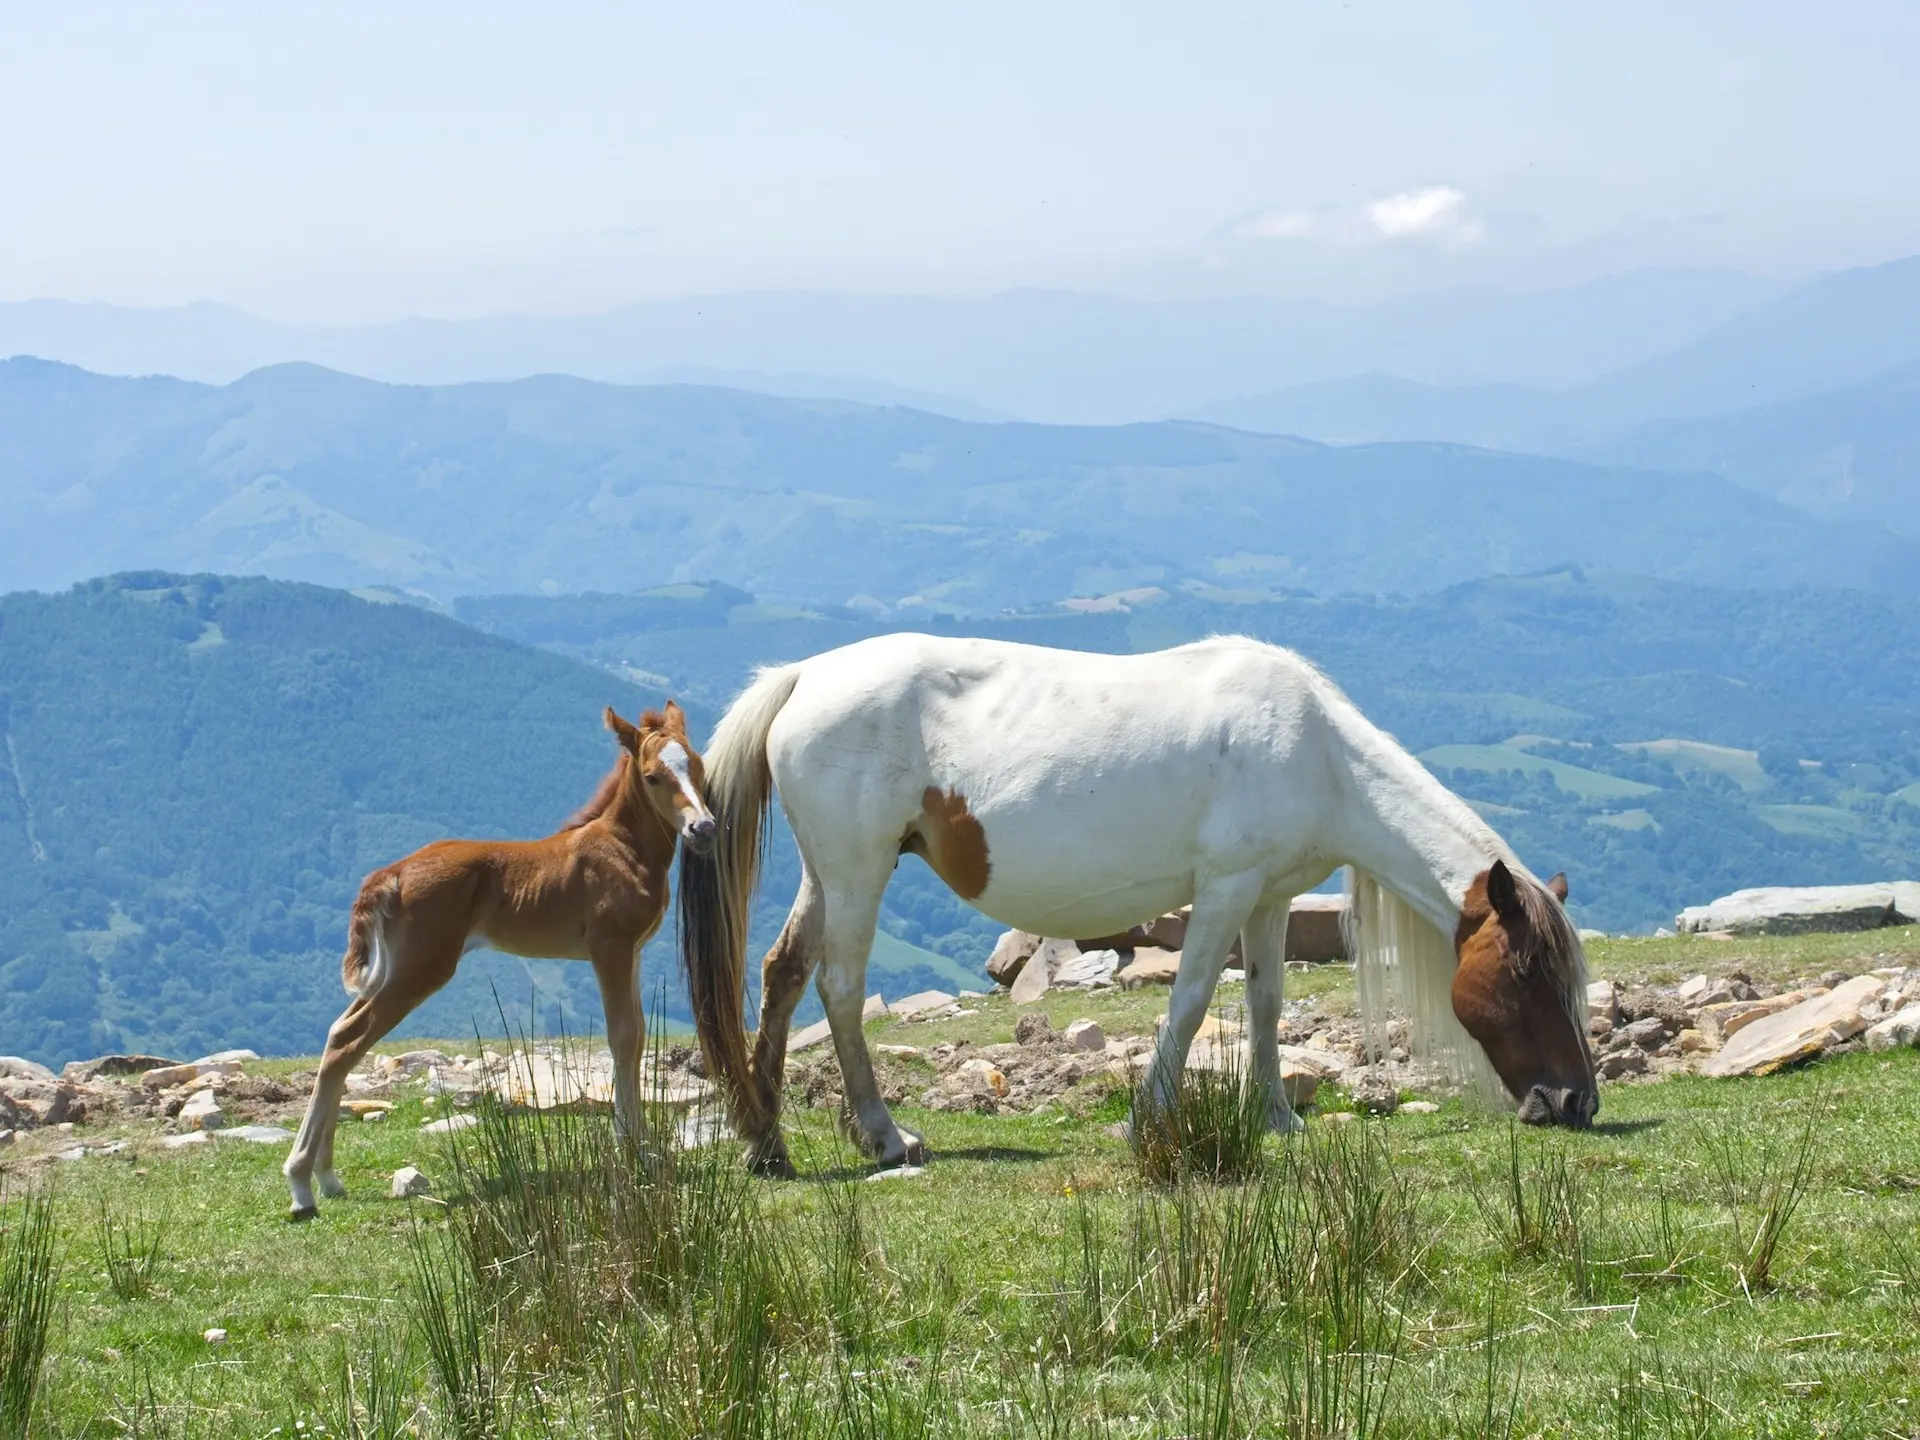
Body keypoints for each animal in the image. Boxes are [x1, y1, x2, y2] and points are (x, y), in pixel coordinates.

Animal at [280, 706, 710, 1221]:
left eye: (697, 765)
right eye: (652, 776)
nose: (703, 828)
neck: (622, 847)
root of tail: (392, 873)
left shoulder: (634, 952)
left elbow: (639, 1035)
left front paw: (642, 1147)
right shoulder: (610, 947)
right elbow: (623, 1037)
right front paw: (633, 1149)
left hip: (394, 967)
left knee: (341, 1034)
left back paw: (327, 1177)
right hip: (424, 966)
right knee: (349, 1038)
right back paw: (301, 1186)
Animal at [683, 637, 1597, 1175]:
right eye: (1526, 975)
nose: (1576, 1103)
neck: (1319, 755)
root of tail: (806, 676)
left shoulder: (1270, 896)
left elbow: (1266, 1005)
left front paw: (1277, 1118)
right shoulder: (1226, 890)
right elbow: (1190, 1005)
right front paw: (1147, 1121)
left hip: (828, 874)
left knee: (783, 973)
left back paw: (766, 1143)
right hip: (857, 872)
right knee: (837, 987)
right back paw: (883, 1136)